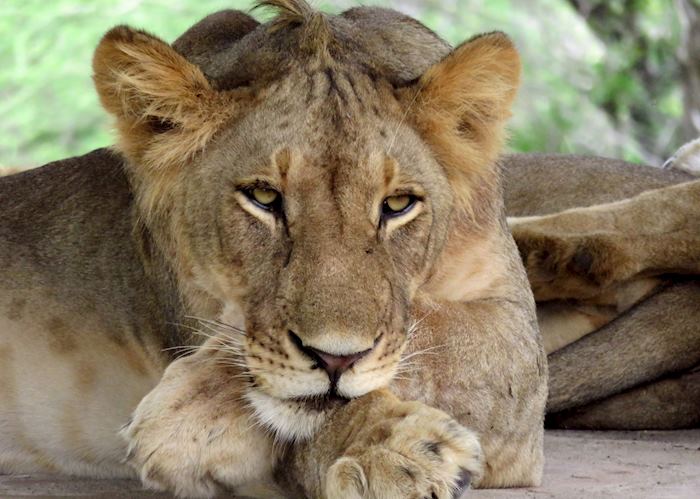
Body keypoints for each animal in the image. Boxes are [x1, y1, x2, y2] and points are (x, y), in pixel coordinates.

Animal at [0, 1, 546, 497]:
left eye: (397, 204)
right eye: (264, 198)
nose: (335, 361)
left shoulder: (514, 325)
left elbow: (428, 332)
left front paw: (196, 411)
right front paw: (393, 452)